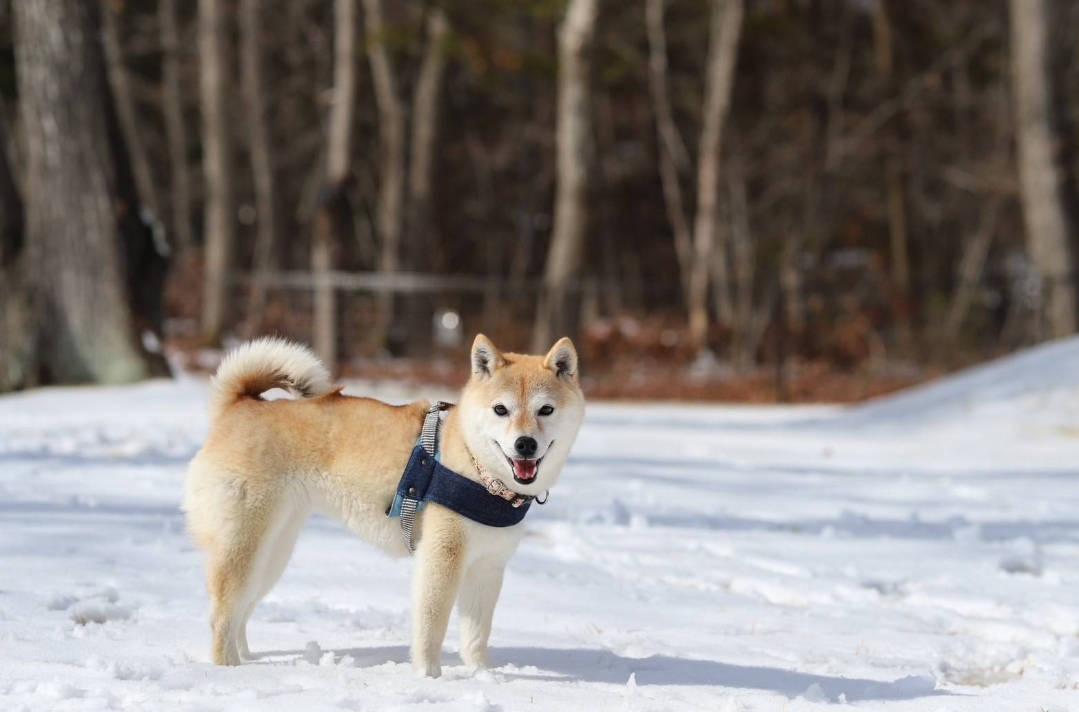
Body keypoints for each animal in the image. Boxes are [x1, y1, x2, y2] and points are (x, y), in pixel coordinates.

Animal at [182, 332, 586, 673]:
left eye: (545, 410)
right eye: (501, 410)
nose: (525, 444)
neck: (478, 470)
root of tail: (237, 405)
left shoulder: (487, 569)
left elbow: (476, 634)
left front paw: (483, 675)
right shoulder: (441, 559)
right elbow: (431, 626)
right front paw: (429, 675)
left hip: (273, 553)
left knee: (240, 611)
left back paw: (246, 661)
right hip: (243, 547)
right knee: (221, 616)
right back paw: (228, 670)